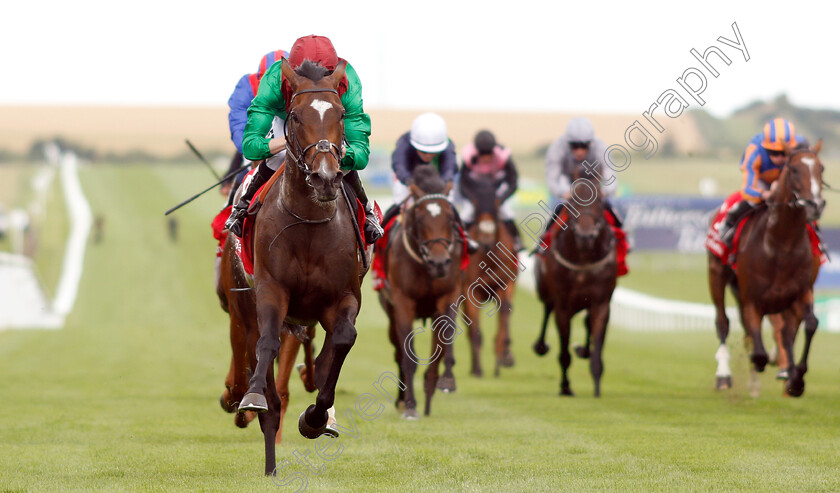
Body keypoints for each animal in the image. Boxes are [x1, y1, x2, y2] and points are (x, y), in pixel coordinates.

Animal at [235, 57, 370, 472]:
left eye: (340, 113)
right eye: (295, 115)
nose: (326, 176)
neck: (309, 221)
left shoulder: (343, 298)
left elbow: (342, 342)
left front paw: (316, 417)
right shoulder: (271, 290)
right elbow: (266, 344)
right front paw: (253, 398)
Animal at [460, 173, 520, 376]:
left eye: (495, 205)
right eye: (477, 204)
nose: (485, 241)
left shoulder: (505, 284)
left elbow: (504, 316)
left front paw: (500, 361)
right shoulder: (470, 290)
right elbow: (475, 331)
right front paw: (478, 369)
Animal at [708, 136, 828, 398]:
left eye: (821, 168)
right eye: (794, 170)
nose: (815, 205)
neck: (781, 244)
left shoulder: (801, 292)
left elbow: (809, 325)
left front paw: (796, 379)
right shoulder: (753, 299)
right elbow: (758, 349)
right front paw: (768, 366)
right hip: (716, 273)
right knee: (723, 323)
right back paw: (724, 375)